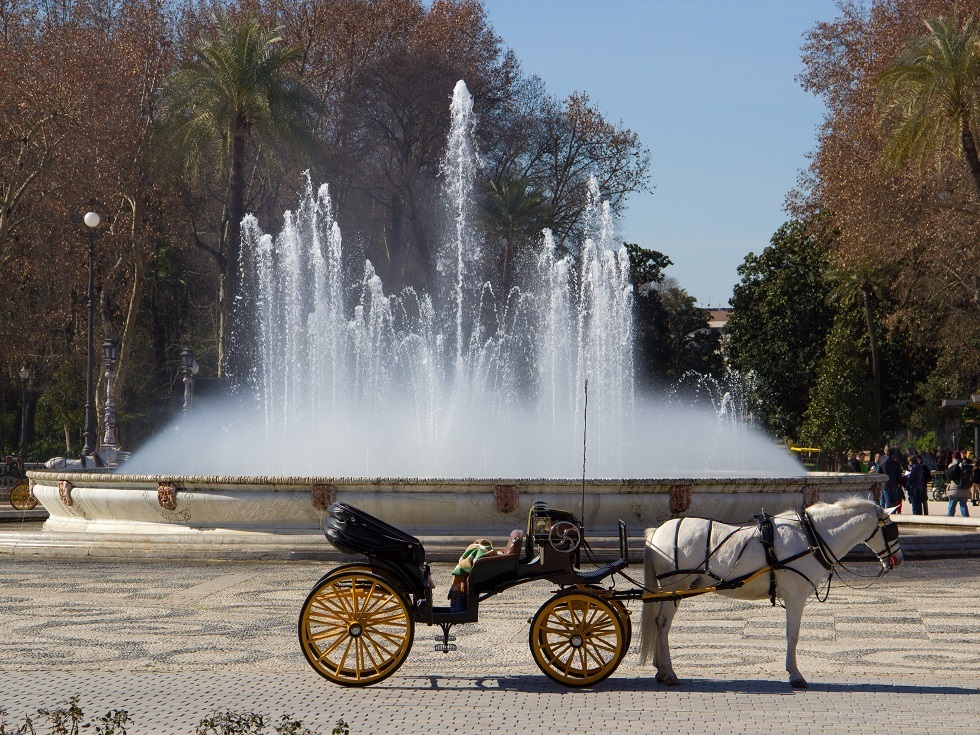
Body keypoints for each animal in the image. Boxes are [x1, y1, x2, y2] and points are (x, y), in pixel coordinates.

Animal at [644, 500, 904, 688]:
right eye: (893, 530)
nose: (899, 560)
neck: (811, 537)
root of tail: (657, 531)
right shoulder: (796, 597)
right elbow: (793, 635)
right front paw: (795, 674)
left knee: (658, 623)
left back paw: (660, 669)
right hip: (674, 587)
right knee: (662, 623)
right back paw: (668, 672)